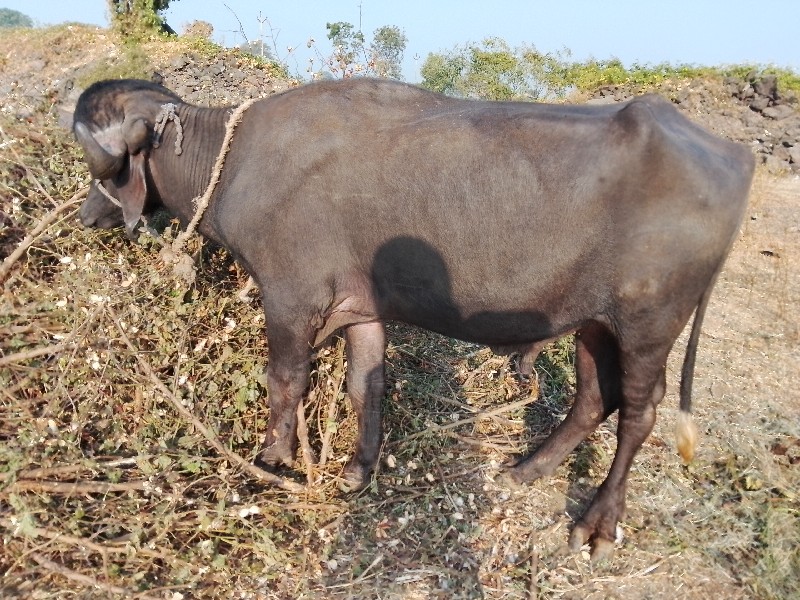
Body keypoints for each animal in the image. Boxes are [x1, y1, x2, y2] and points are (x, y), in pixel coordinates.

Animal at [75, 78, 756, 556]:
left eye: (102, 166)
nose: (86, 214)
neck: (234, 157)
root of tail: (733, 153)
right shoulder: (361, 310)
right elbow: (365, 385)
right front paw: (359, 469)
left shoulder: (291, 299)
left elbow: (285, 382)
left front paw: (272, 461)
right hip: (593, 322)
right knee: (594, 397)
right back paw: (527, 469)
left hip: (647, 326)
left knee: (640, 412)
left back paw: (598, 523)